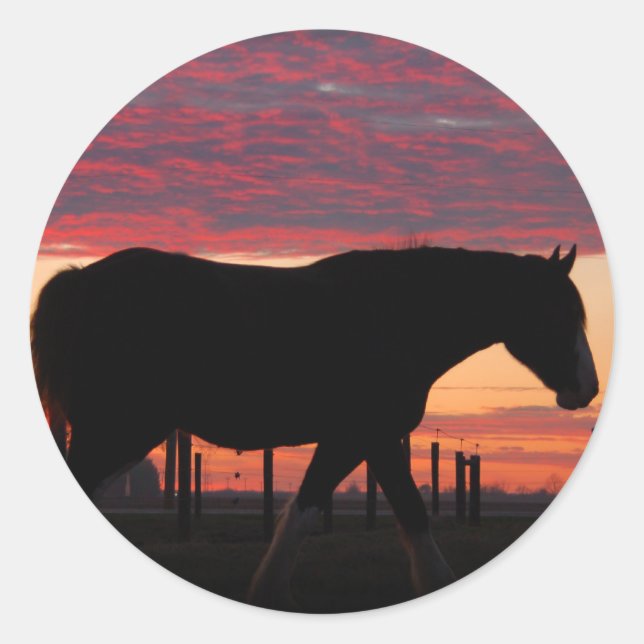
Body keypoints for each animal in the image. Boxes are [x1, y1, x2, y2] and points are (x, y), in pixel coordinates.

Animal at [30, 244, 598, 609]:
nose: (588, 389)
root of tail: (80, 281)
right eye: (560, 313)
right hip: (116, 430)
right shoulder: (367, 435)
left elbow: (323, 510)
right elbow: (398, 512)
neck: (395, 315)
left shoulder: (359, 440)